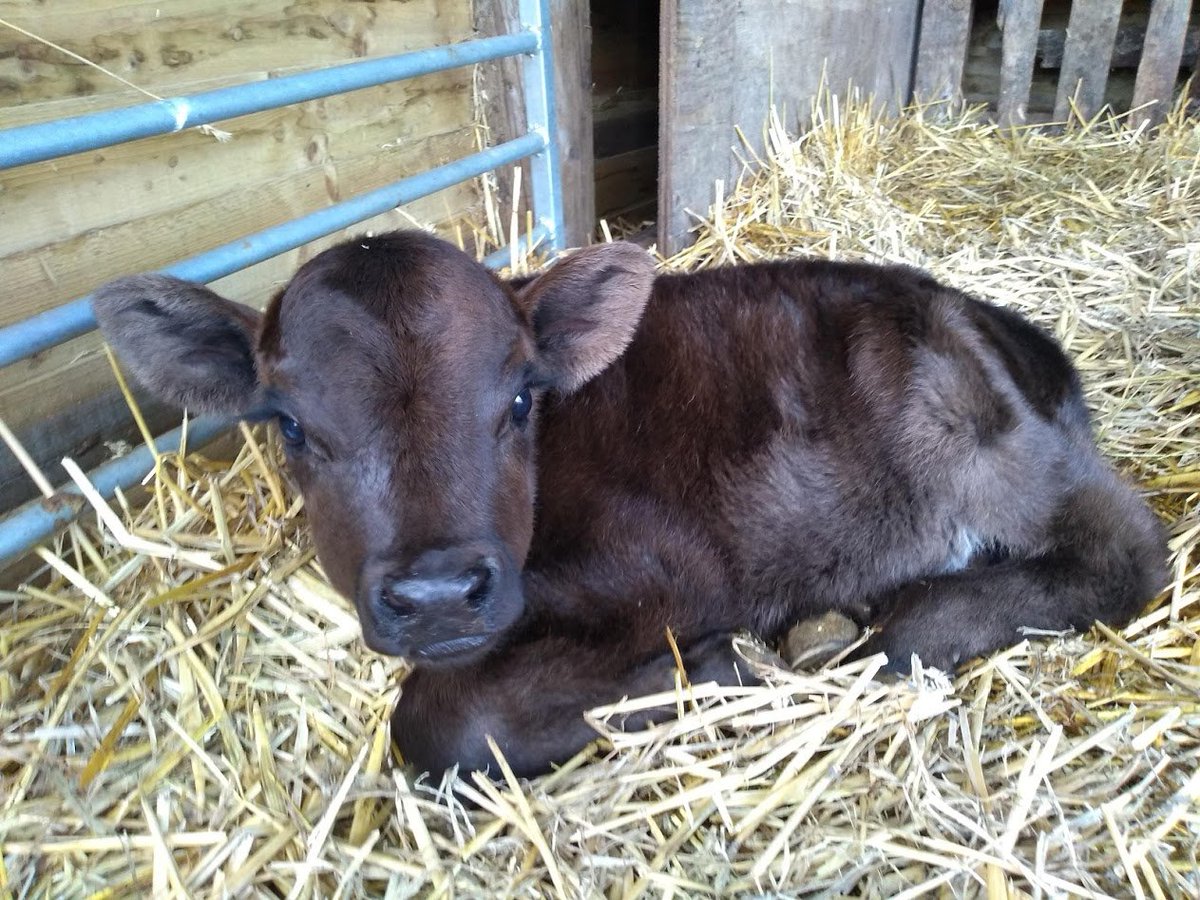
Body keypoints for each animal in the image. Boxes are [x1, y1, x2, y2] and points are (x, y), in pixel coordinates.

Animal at [92, 231, 1167, 778]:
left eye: (519, 399)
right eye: (289, 425)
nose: (439, 596)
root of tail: (1003, 322)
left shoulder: (669, 574)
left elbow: (444, 724)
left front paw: (709, 671)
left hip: (983, 437)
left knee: (1129, 546)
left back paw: (890, 625)